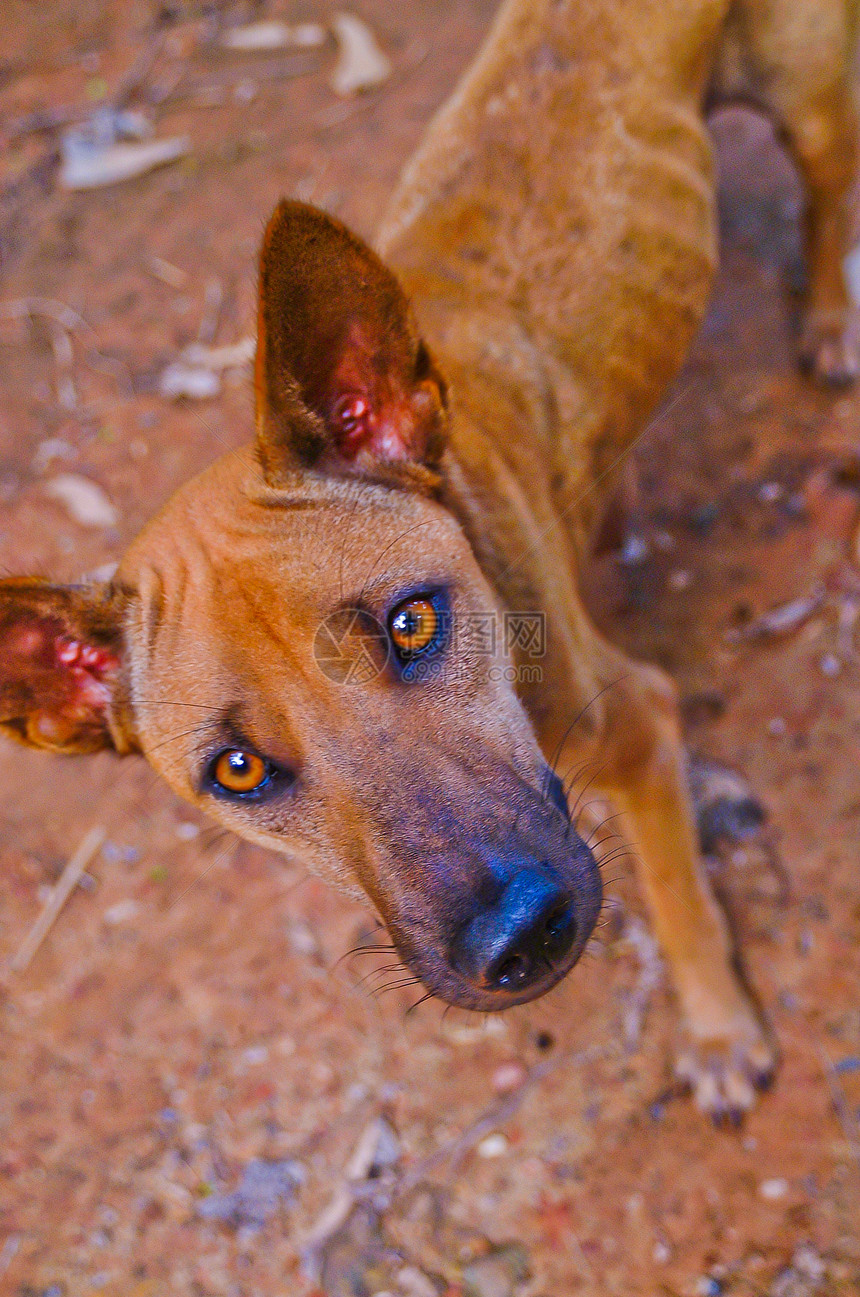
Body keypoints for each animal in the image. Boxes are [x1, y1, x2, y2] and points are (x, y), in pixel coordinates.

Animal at [0, 0, 856, 1120]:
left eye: (413, 620)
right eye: (237, 769)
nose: (519, 937)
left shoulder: (636, 725)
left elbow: (676, 896)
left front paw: (717, 1028)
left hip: (812, 106)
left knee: (828, 194)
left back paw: (830, 322)